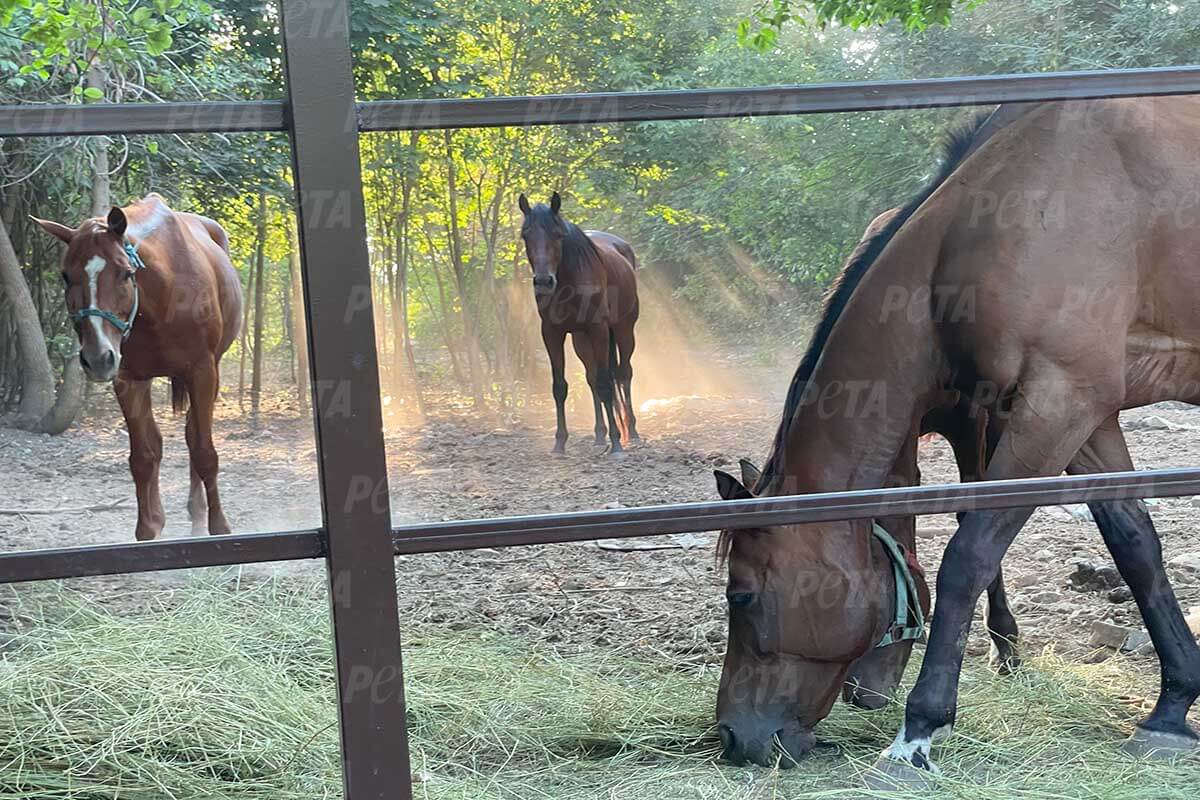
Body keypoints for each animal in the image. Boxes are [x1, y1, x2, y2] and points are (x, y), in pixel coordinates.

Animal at [35, 194, 241, 542]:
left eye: (124, 273)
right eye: (65, 275)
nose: (97, 357)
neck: (161, 298)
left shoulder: (202, 371)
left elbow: (203, 450)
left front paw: (219, 526)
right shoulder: (128, 379)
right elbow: (144, 456)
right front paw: (149, 527)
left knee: (194, 436)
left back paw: (200, 516)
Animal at [520, 193, 643, 453]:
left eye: (558, 234)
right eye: (526, 235)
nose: (544, 281)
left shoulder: (598, 330)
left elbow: (607, 384)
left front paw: (616, 443)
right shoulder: (551, 333)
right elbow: (560, 387)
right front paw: (560, 442)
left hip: (624, 330)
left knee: (623, 373)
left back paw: (632, 431)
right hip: (581, 340)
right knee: (592, 378)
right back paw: (599, 436)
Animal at [705, 97, 1200, 777]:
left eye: (743, 597)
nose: (733, 736)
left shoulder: (1054, 406)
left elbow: (969, 554)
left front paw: (919, 729)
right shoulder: (1086, 416)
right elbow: (1136, 545)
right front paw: (1172, 707)